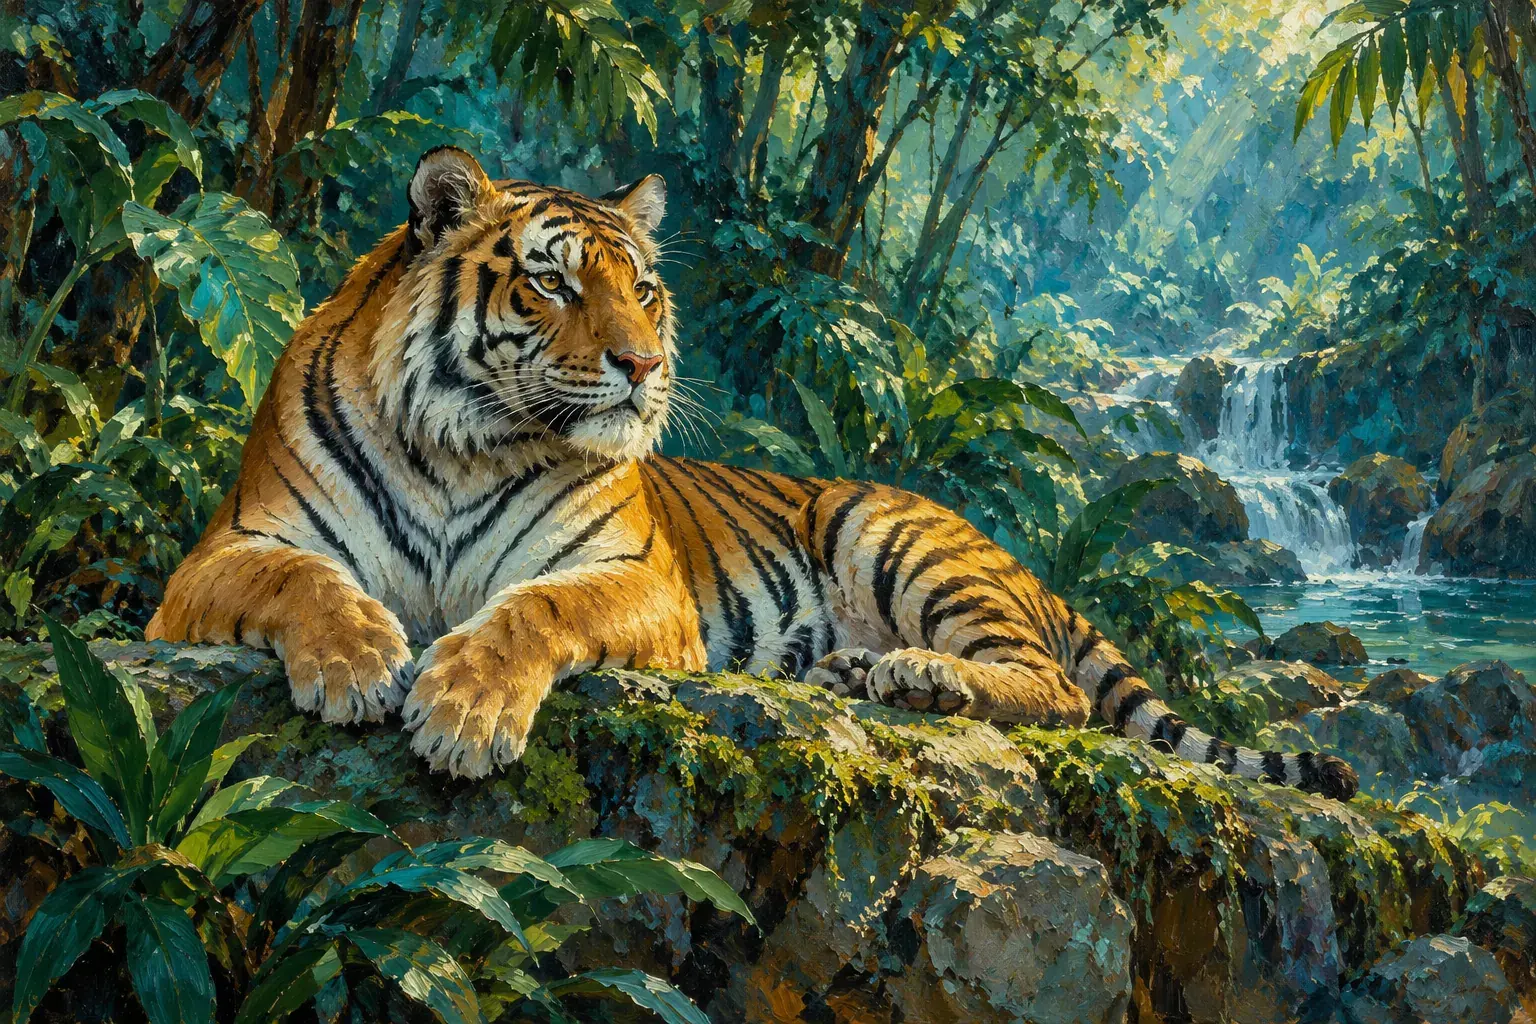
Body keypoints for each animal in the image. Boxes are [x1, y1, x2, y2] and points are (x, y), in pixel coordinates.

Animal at [146, 146, 1358, 801]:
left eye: (642, 287)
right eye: (552, 282)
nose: (643, 365)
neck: (463, 439)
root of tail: (1021, 560)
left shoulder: (632, 576)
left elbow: (531, 611)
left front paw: (465, 710)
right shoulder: (217, 557)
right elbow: (302, 580)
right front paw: (357, 660)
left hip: (893, 533)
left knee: (1053, 688)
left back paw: (921, 676)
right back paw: (856, 676)